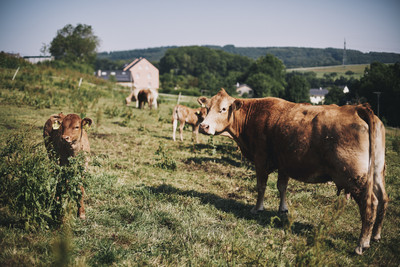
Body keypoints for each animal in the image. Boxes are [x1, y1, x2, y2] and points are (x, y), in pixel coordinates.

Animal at [198, 88, 390, 255]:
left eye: (223, 109)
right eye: (206, 108)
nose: (203, 126)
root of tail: (358, 108)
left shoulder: (260, 160)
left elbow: (261, 187)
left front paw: (257, 208)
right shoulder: (285, 163)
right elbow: (282, 187)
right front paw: (283, 209)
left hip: (355, 177)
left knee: (369, 204)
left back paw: (362, 244)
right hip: (377, 172)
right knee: (383, 199)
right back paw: (376, 235)